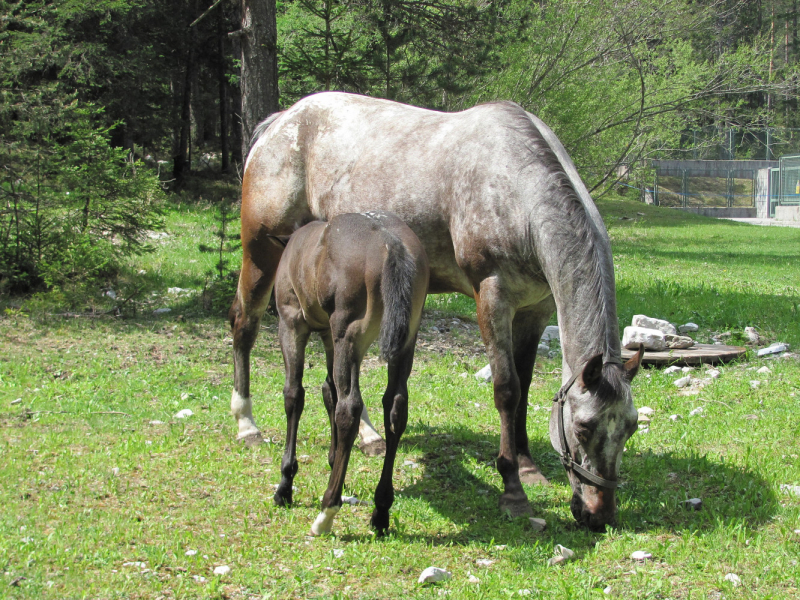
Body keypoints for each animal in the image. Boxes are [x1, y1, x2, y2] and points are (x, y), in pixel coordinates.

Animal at [272, 211, 428, 536]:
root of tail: (391, 242)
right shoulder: (328, 337)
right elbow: (328, 390)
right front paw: (333, 460)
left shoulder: (292, 323)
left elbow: (294, 395)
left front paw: (285, 484)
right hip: (405, 342)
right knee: (395, 409)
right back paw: (381, 510)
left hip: (349, 337)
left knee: (350, 408)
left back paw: (326, 512)